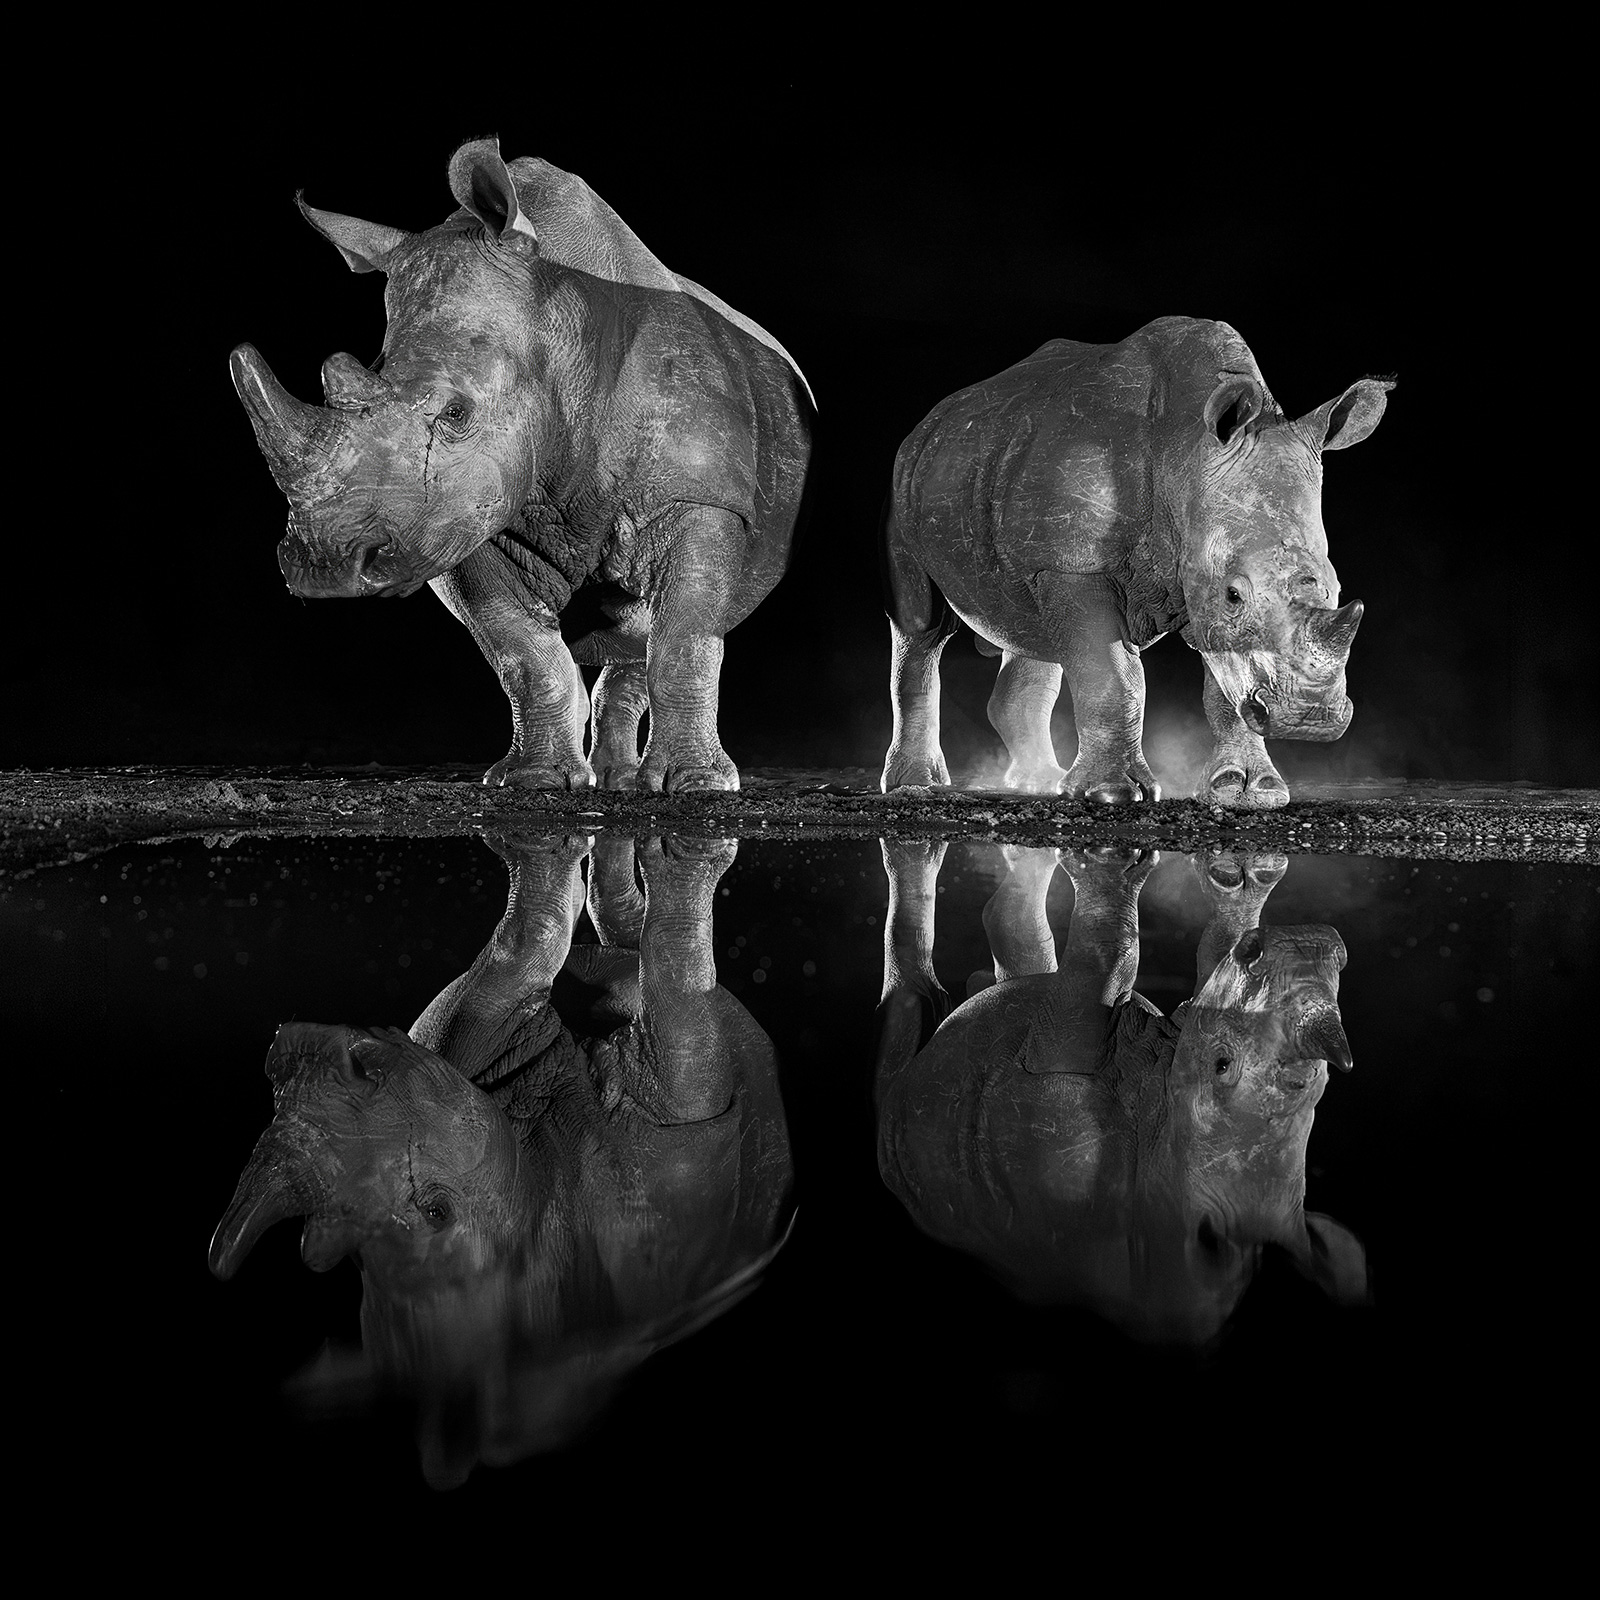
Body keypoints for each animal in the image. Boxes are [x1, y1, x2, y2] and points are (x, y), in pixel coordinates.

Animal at [209, 832, 793, 1487]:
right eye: (436, 1212)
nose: (307, 1046)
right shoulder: (663, 1173)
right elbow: (658, 1001)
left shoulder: (454, 1051)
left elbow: (497, 983)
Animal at [231, 139, 813, 792]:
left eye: (456, 412)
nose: (324, 568)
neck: (560, 331)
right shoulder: (455, 514)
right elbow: (519, 650)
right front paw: (535, 780)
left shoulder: (700, 492)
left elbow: (684, 634)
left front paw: (696, 786)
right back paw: (608, 778)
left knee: (647, 628)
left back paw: (627, 781)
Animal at [876, 840, 1365, 1344]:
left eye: (1222, 1064)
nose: (1311, 942)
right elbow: (1208, 957)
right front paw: (1238, 877)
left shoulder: (1062, 1108)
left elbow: (1104, 959)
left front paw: (1106, 862)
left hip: (915, 1142)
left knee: (905, 1024)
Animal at [880, 318, 1392, 808]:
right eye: (1233, 594)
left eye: (1334, 589)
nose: (1310, 718)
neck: (1184, 453)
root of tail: (933, 419)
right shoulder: (1076, 565)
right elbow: (1114, 678)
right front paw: (1112, 794)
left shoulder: (1188, 567)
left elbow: (1224, 689)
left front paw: (1251, 792)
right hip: (907, 477)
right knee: (921, 625)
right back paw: (915, 784)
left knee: (1029, 624)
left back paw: (1040, 782)